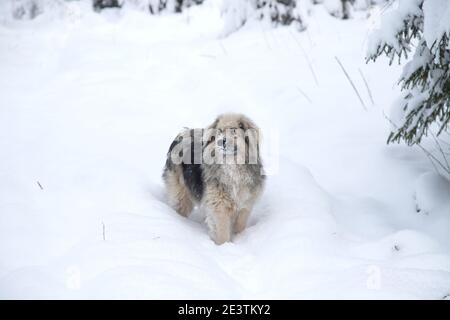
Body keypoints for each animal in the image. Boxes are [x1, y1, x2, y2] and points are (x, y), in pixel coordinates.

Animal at [163, 114, 266, 244]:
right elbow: (222, 233)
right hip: (181, 193)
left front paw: (238, 238)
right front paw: (224, 246)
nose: (221, 141)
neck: (232, 167)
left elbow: (239, 226)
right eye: (220, 131)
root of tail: (182, 134)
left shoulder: (245, 205)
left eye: (233, 130)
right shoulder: (219, 206)